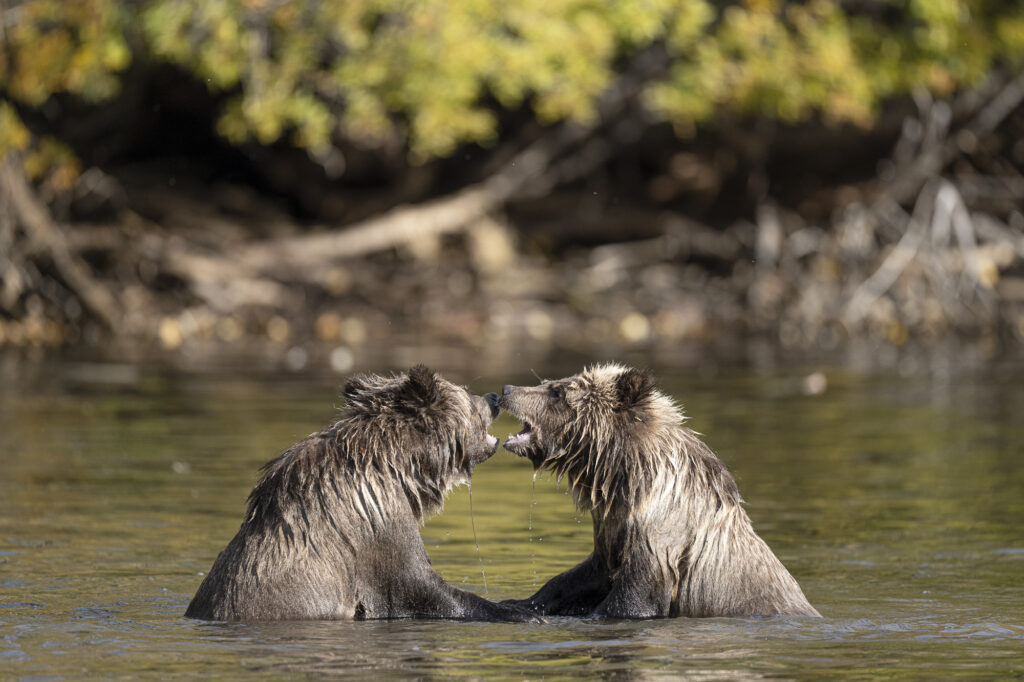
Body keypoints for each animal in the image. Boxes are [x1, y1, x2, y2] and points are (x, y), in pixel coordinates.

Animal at [186, 365, 539, 622]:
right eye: (466, 392)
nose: (492, 396)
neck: (399, 472)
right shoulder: (378, 533)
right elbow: (422, 587)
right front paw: (518, 612)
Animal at [498, 363, 820, 619]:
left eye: (558, 392)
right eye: (547, 382)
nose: (506, 389)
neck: (623, 476)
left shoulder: (661, 536)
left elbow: (634, 597)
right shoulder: (612, 527)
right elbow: (583, 575)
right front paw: (519, 602)